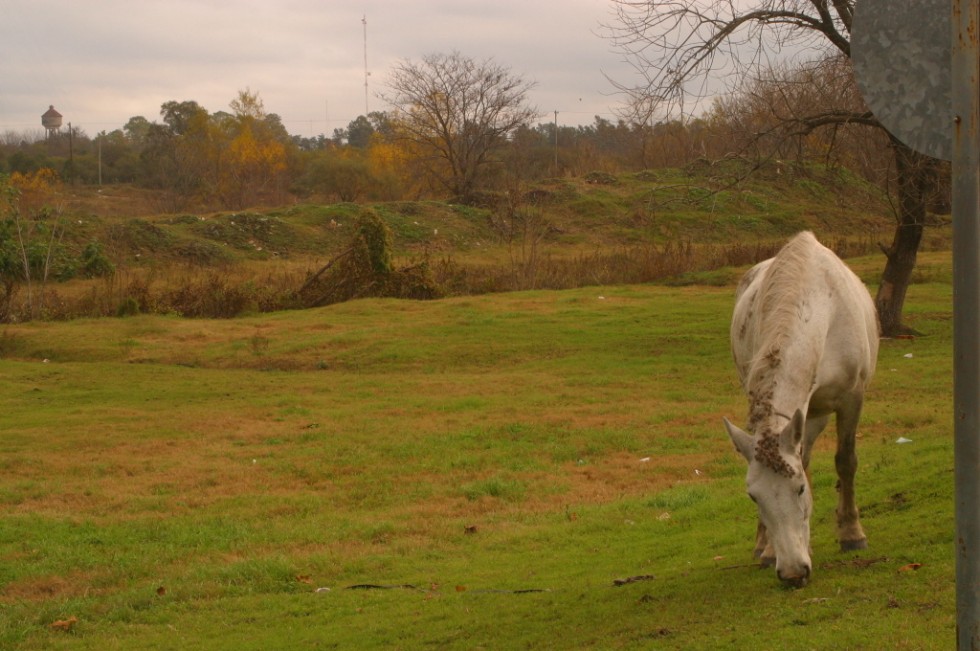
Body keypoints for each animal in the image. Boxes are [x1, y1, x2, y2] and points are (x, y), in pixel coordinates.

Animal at [720, 232, 880, 588]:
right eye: (753, 497)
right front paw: (768, 550)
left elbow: (845, 461)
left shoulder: (852, 398)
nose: (793, 573)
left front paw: (852, 535)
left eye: (801, 488)